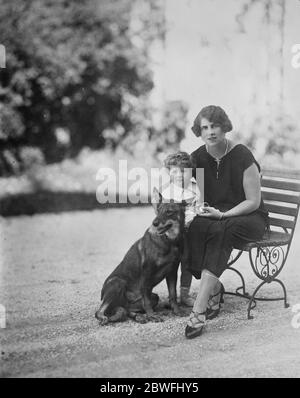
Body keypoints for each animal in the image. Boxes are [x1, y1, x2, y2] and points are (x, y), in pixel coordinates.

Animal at [95, 189, 185, 324]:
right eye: (158, 210)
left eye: (169, 211)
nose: (155, 223)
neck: (169, 241)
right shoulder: (146, 273)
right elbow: (146, 301)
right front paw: (152, 316)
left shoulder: (172, 272)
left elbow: (173, 295)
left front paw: (177, 311)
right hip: (118, 282)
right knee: (99, 311)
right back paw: (106, 318)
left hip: (154, 297)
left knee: (126, 309)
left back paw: (139, 317)